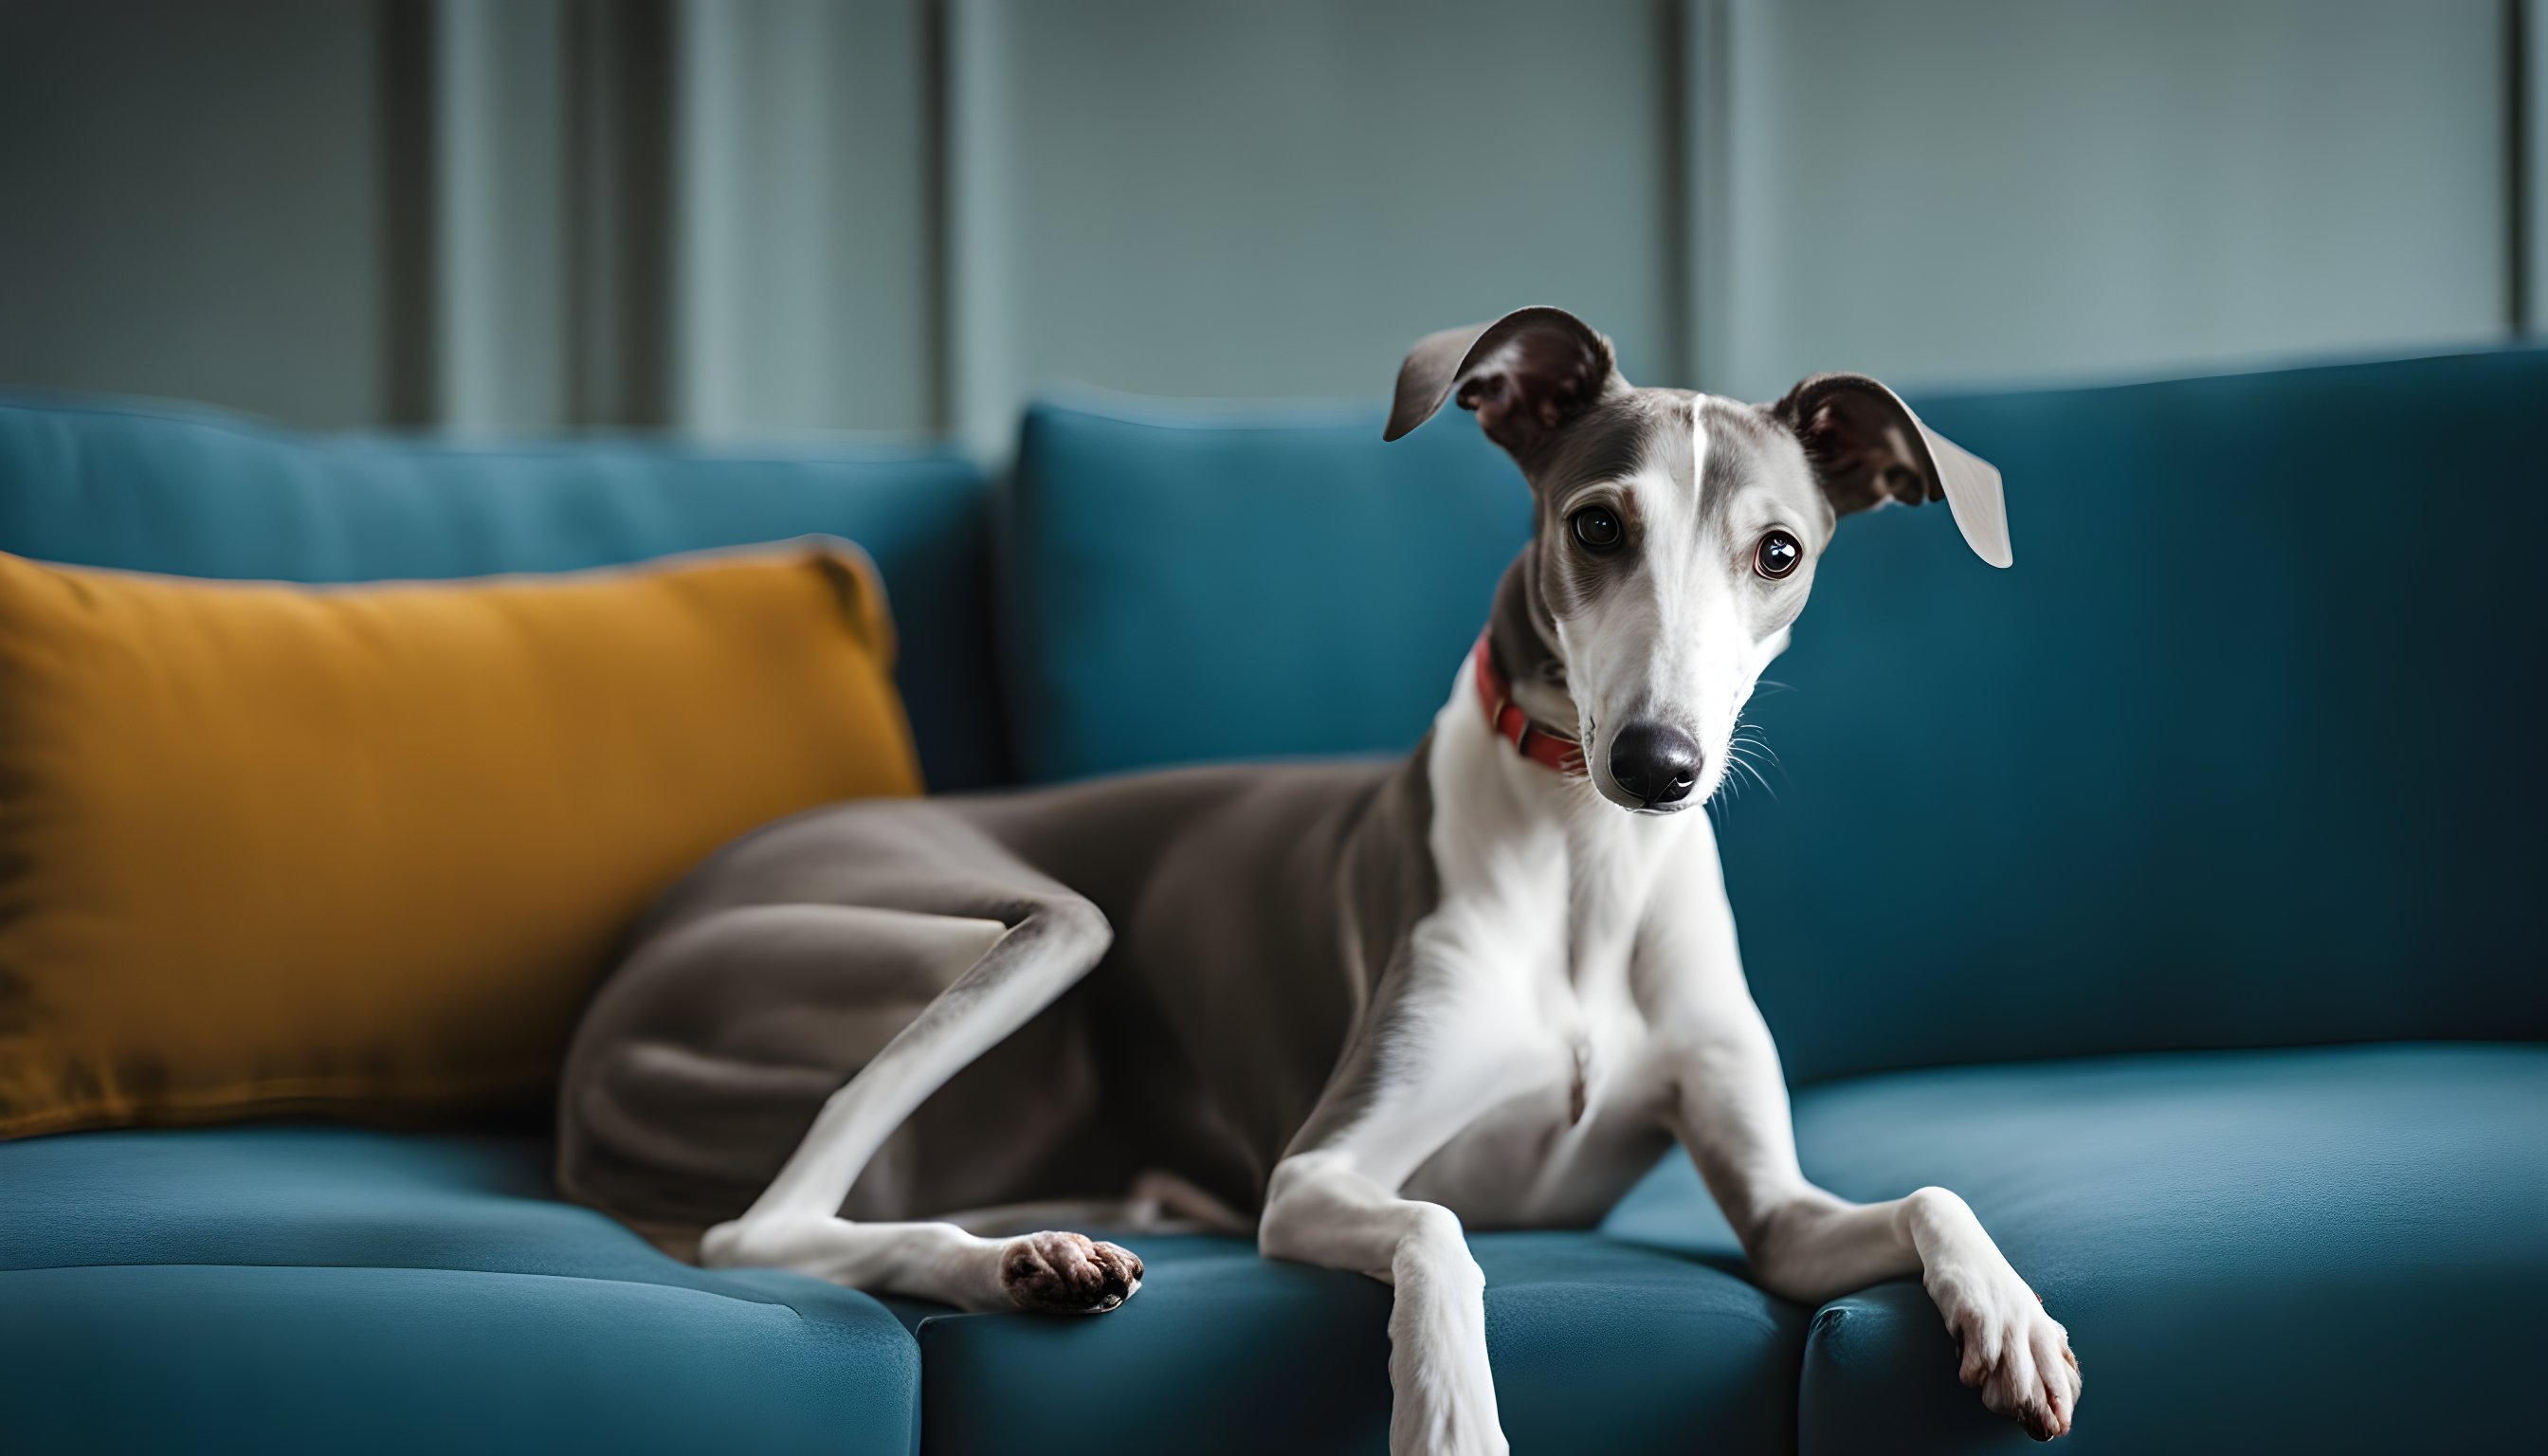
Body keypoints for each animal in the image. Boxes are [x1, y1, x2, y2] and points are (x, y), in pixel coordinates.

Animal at [557, 304, 2068, 1447]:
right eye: (1596, 527)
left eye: (1780, 552)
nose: (1658, 763)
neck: (1586, 870)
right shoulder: (1318, 1172)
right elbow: (1441, 1223)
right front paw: (1450, 1420)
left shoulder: (1776, 1216)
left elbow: (1924, 1197)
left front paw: (2013, 1320)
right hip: (1043, 928)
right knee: (759, 1233)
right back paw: (1017, 1262)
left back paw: (1046, 1250)